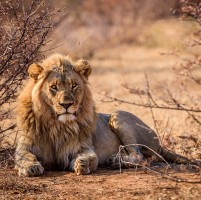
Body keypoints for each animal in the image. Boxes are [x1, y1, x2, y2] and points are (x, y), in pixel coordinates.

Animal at [14, 53, 190, 177]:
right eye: (54, 87)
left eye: (74, 85)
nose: (66, 105)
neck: (57, 124)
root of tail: (159, 144)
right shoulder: (25, 145)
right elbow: (24, 156)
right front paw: (31, 167)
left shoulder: (83, 146)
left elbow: (91, 157)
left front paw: (83, 164)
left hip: (118, 115)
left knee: (139, 155)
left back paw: (117, 160)